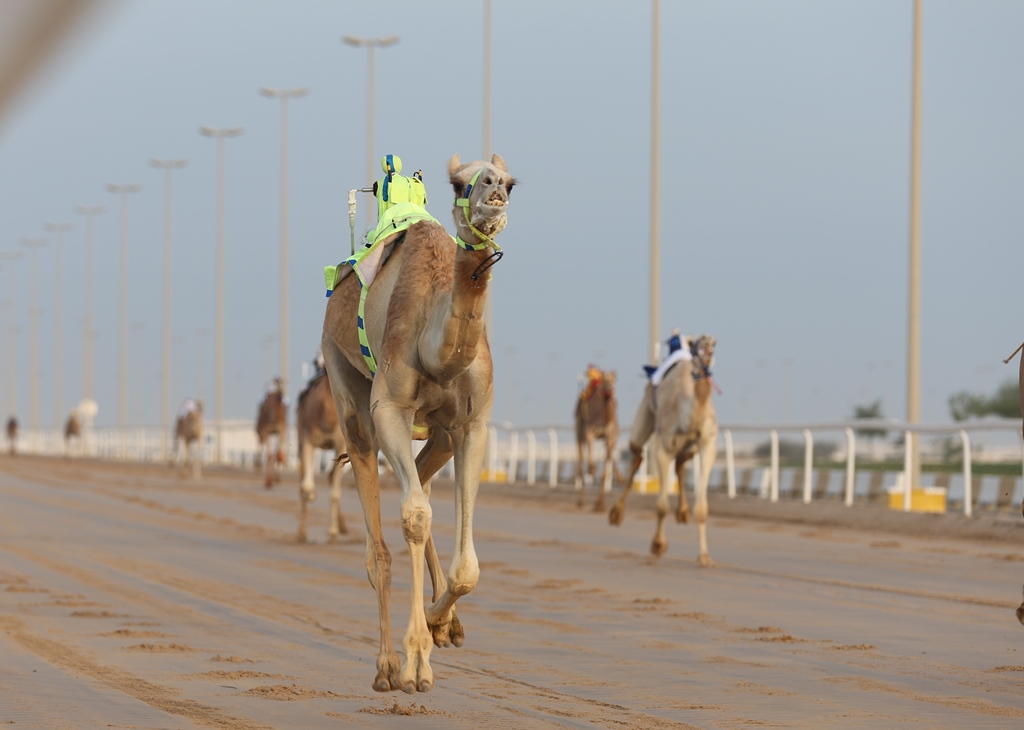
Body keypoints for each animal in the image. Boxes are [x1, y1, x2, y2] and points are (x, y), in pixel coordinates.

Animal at [319, 152, 512, 688]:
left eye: (511, 182)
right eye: (461, 183)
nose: (494, 190)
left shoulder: (473, 424)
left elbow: (467, 566)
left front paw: (437, 622)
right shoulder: (390, 408)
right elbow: (413, 518)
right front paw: (416, 662)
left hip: (441, 434)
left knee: (421, 487)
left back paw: (445, 624)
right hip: (346, 389)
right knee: (380, 545)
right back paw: (387, 667)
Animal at [606, 333, 720, 565]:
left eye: (713, 344)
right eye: (700, 343)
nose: (707, 350)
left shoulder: (707, 445)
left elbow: (702, 508)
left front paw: (705, 556)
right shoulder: (662, 448)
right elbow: (661, 506)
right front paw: (658, 545)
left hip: (689, 447)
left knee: (681, 461)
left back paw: (683, 513)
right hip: (644, 419)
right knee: (638, 456)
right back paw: (616, 514)